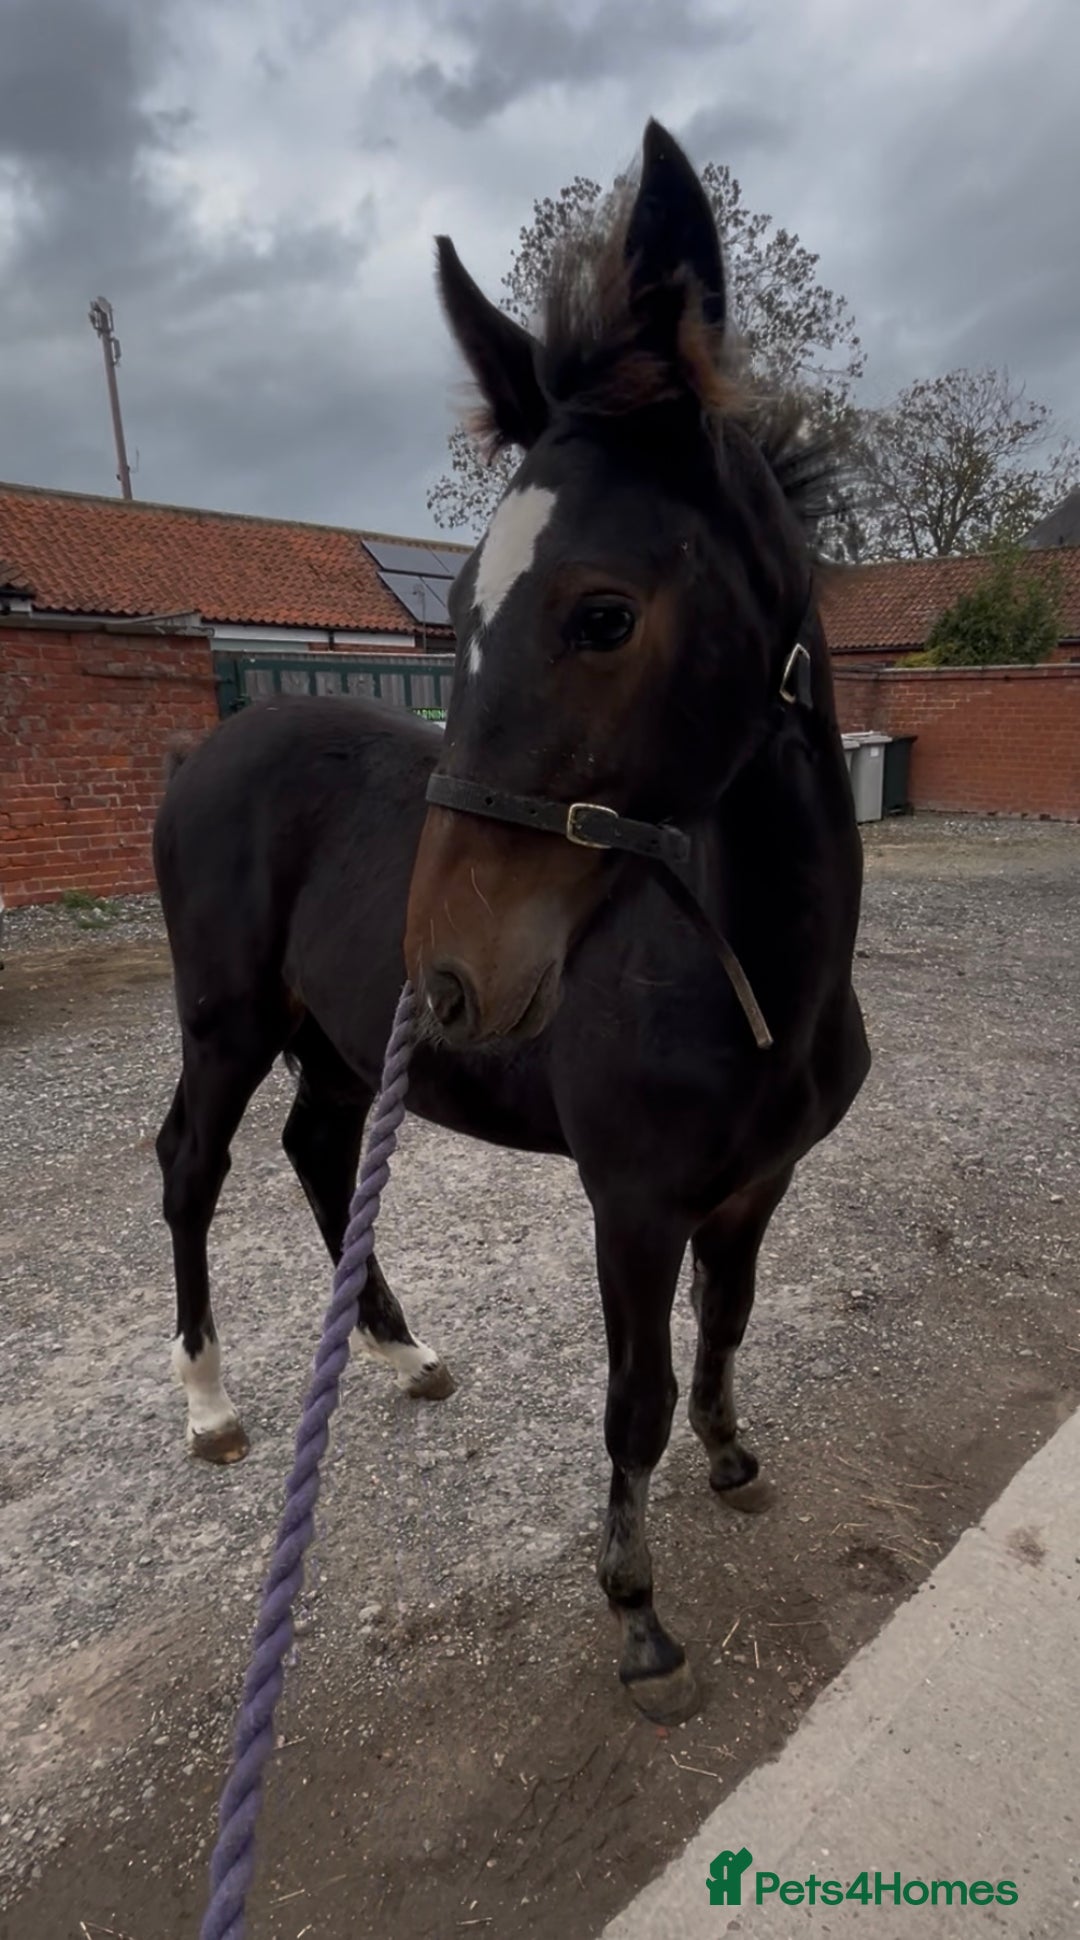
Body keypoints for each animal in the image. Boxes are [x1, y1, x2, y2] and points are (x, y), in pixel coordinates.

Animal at [153, 119, 870, 1722]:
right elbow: (635, 1395)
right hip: (228, 1022)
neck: (756, 981)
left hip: (340, 1043)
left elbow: (729, 1329)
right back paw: (214, 1406)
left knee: (315, 1153)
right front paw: (640, 1615)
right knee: (191, 1164)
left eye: (604, 613)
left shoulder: (759, 1188)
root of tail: (213, 745)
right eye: (463, 606)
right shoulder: (634, 1203)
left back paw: (404, 1353)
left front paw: (736, 1461)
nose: (456, 980)